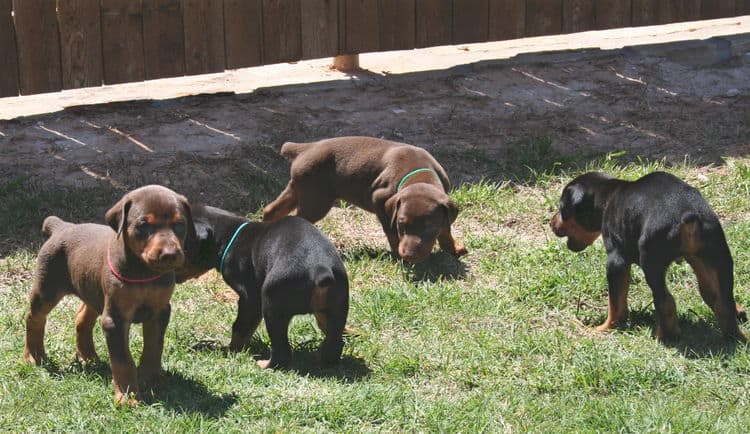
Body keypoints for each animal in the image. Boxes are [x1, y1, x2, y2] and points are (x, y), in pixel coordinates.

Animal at [23, 185, 194, 406]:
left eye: (180, 224)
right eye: (143, 225)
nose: (169, 255)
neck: (145, 272)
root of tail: (61, 226)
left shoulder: (160, 311)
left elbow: (154, 347)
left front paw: (152, 379)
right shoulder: (116, 318)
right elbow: (123, 360)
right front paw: (128, 397)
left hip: (93, 291)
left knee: (82, 319)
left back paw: (87, 356)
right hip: (48, 288)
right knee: (34, 317)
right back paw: (34, 356)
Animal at [176, 205, 350, 368]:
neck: (231, 236)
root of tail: (321, 269)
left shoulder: (249, 298)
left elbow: (240, 326)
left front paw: (231, 350)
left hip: (272, 301)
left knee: (281, 351)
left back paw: (265, 364)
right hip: (338, 305)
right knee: (334, 341)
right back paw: (323, 360)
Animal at [262, 137, 468, 262]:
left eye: (429, 227)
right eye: (401, 225)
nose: (409, 256)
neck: (419, 173)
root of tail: (305, 148)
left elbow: (445, 229)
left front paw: (452, 247)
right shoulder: (380, 201)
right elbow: (391, 232)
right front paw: (397, 253)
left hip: (300, 189)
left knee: (271, 210)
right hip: (317, 200)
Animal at [548, 171, 748, 340]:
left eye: (562, 208)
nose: (551, 223)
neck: (607, 196)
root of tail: (689, 215)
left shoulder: (616, 261)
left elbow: (616, 304)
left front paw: (606, 328)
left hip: (652, 262)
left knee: (666, 301)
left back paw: (665, 336)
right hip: (717, 256)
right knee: (722, 300)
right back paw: (736, 335)